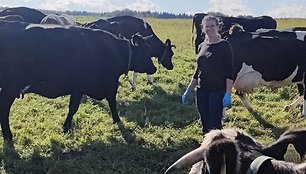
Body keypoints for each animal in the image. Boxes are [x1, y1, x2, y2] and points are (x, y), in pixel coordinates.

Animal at [0, 19, 157, 141]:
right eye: (147, 52)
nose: (154, 68)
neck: (115, 51)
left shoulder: (78, 88)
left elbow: (73, 108)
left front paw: (66, 127)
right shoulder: (108, 85)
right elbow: (111, 103)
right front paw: (117, 120)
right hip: (10, 88)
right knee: (4, 108)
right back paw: (8, 136)